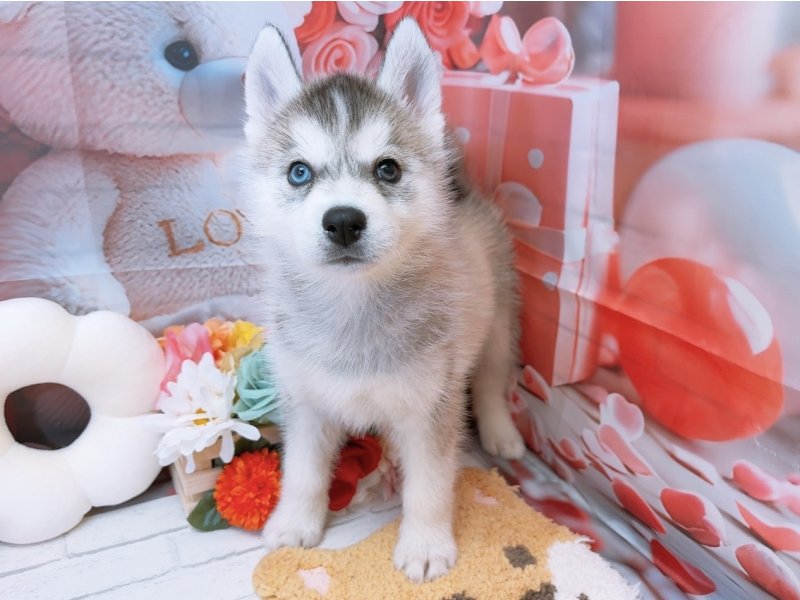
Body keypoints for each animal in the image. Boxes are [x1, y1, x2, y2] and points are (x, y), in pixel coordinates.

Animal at [241, 19, 525, 583]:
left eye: (388, 169)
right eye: (299, 172)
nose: (343, 221)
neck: (352, 307)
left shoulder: (431, 407)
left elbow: (430, 487)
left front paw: (425, 545)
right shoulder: (305, 403)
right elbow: (303, 471)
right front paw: (295, 523)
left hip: (498, 323)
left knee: (489, 380)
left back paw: (501, 432)